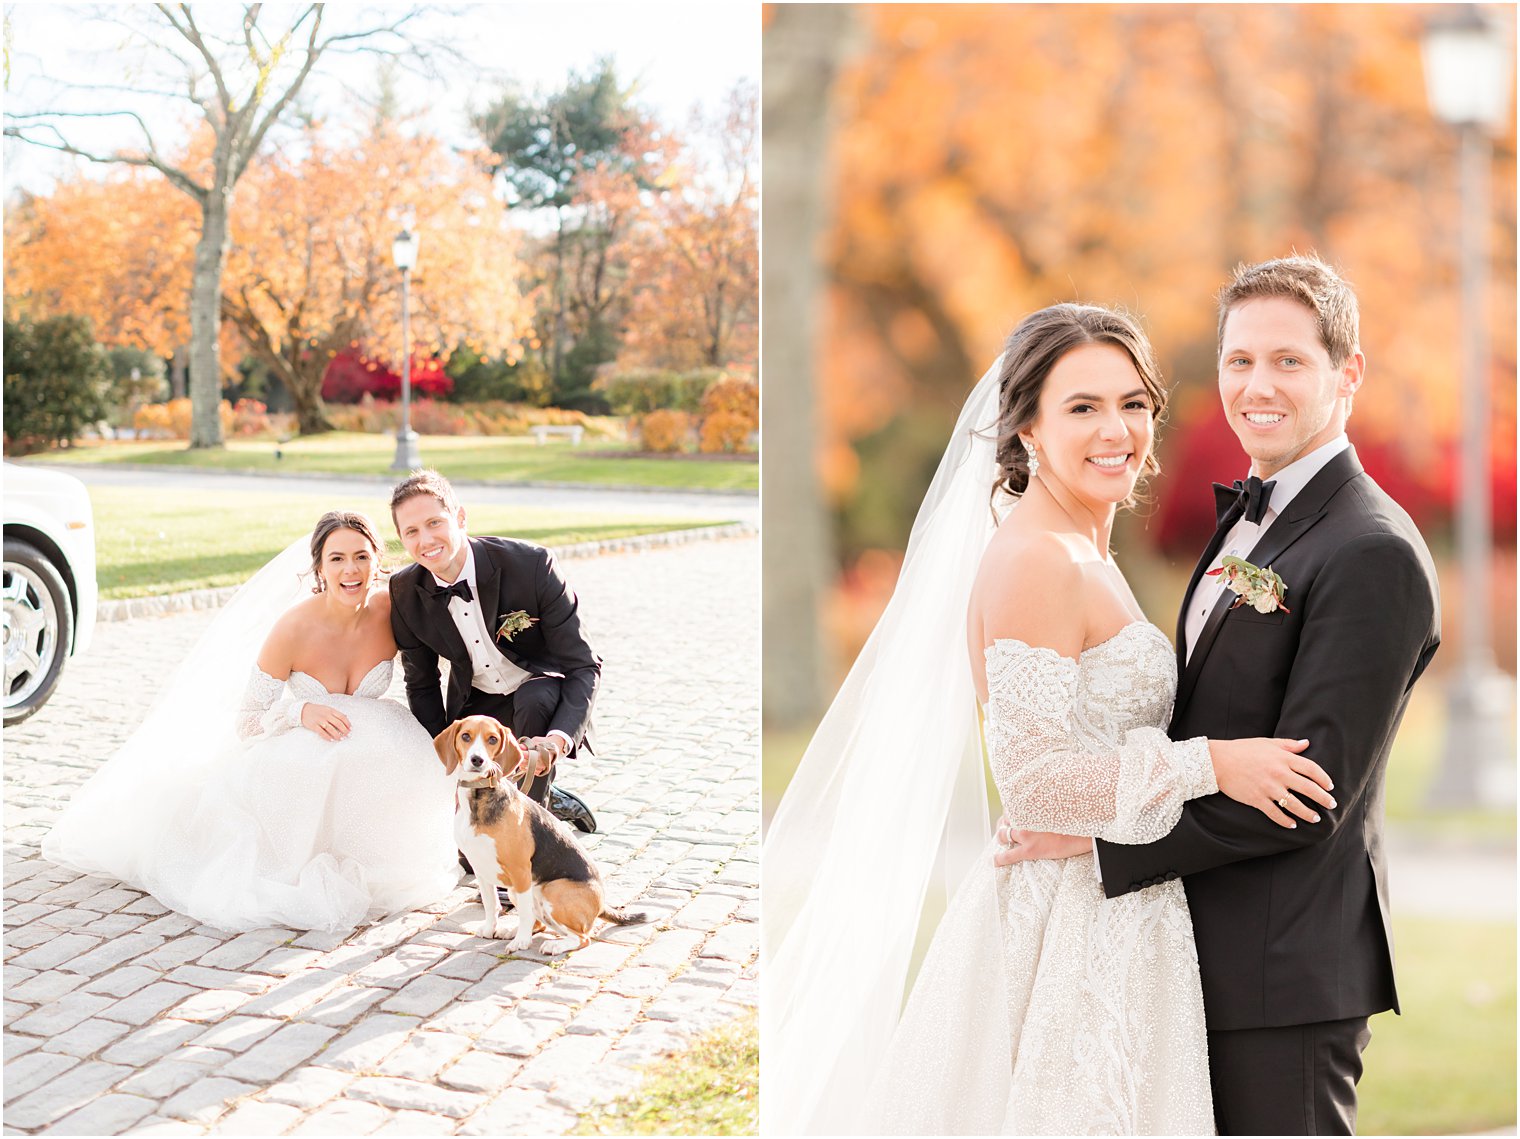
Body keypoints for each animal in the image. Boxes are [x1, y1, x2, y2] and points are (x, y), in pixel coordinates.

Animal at [431, 711, 644, 948]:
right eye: (466, 736)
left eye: (493, 739)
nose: (477, 760)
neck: (479, 794)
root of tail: (602, 902)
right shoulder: (480, 868)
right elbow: (490, 904)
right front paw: (489, 930)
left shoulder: (521, 871)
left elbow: (524, 913)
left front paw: (521, 943)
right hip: (516, 891)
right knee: (540, 923)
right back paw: (512, 932)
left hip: (550, 890)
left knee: (582, 938)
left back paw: (554, 945)